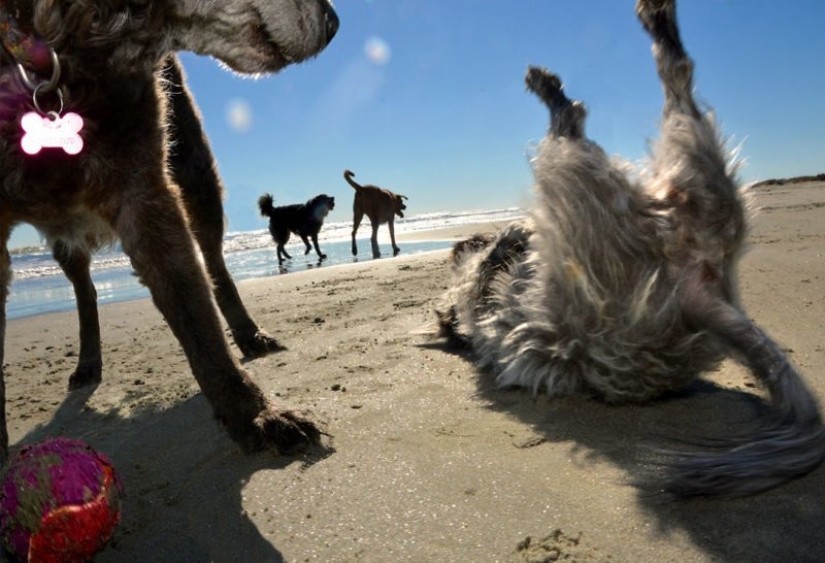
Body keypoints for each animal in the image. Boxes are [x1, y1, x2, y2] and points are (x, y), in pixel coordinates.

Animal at [0, 0, 338, 464]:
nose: (334, 24)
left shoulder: (146, 191)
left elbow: (199, 322)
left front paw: (255, 414)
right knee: (85, 291)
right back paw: (87, 363)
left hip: (195, 172)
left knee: (215, 267)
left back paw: (249, 334)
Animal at [432, 0, 824, 496]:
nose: (465, 240)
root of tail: (697, 295)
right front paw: (507, 242)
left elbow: (491, 263)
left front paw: (507, 239)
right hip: (640, 186)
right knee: (646, 89)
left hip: (642, 184)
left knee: (627, 99)